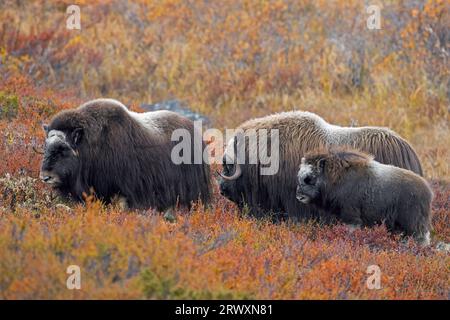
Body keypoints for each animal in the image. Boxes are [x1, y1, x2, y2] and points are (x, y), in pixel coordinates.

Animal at [296, 148, 432, 245]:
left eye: (309, 178)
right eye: (299, 177)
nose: (299, 196)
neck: (335, 178)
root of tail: (428, 190)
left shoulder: (351, 216)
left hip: (412, 224)